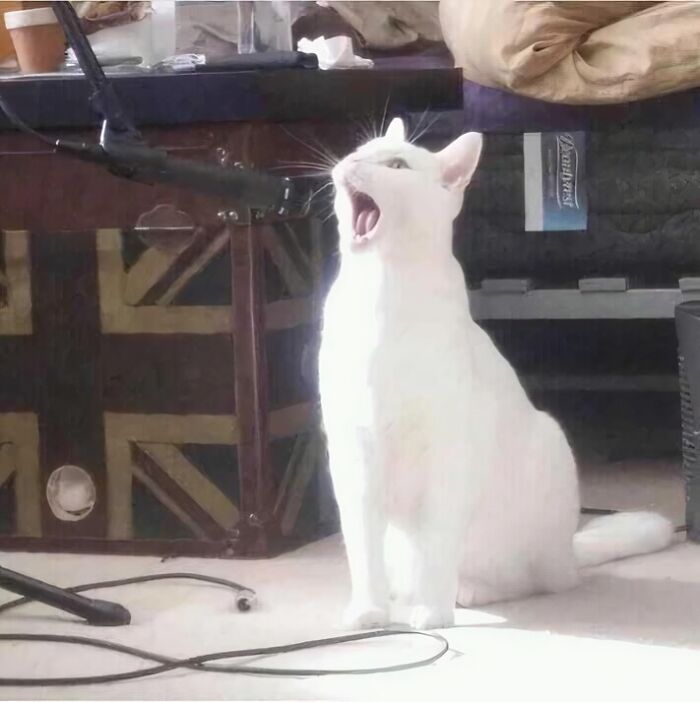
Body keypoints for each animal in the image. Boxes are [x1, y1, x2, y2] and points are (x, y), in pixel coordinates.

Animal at [320, 118, 676, 636]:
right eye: (358, 151)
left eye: (396, 165)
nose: (346, 164)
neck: (380, 288)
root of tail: (568, 554)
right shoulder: (352, 452)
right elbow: (361, 544)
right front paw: (369, 613)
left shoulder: (447, 453)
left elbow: (438, 542)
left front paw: (433, 615)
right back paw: (403, 594)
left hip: (549, 442)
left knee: (530, 581)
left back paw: (468, 591)